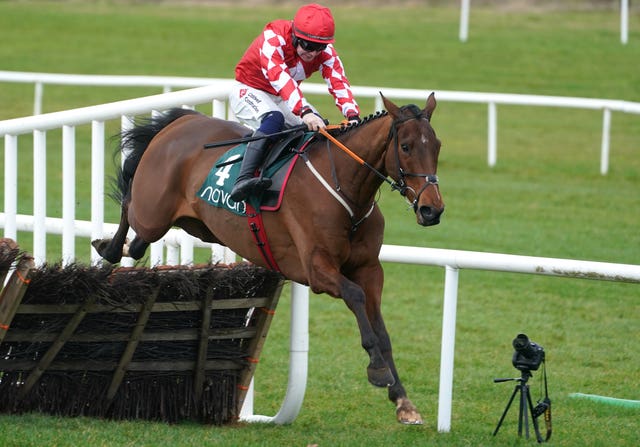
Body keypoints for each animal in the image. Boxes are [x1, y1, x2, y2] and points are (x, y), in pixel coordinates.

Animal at [94, 93, 444, 424]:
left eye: (437, 146)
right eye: (406, 146)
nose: (432, 210)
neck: (346, 189)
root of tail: (181, 122)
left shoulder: (370, 269)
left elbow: (381, 329)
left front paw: (402, 400)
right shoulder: (317, 269)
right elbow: (355, 297)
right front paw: (378, 370)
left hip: (197, 225)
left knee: (138, 242)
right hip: (152, 212)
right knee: (129, 205)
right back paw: (108, 247)